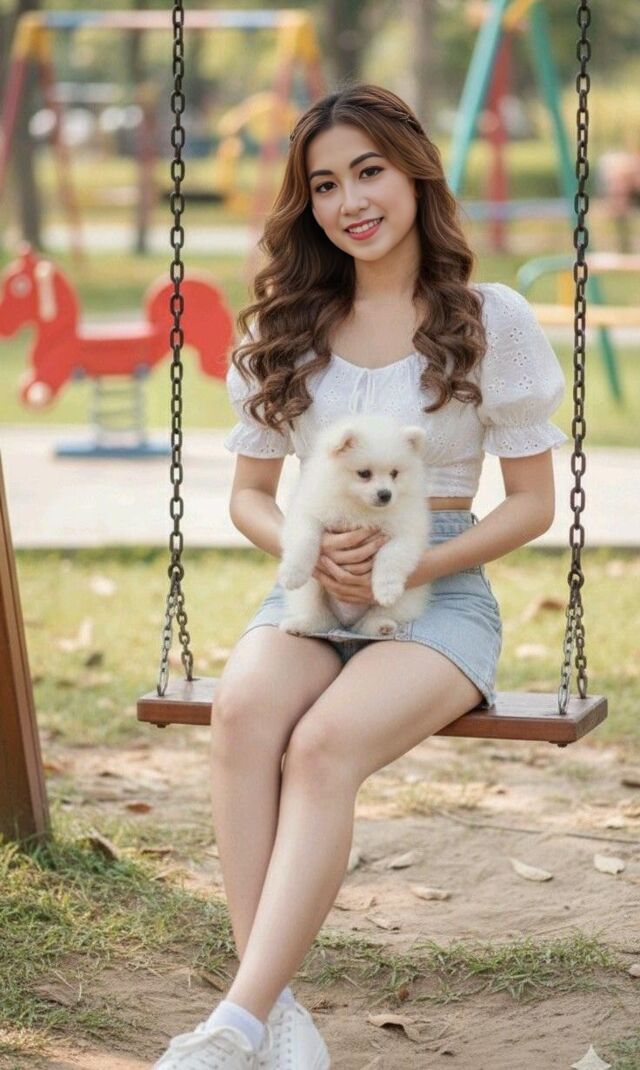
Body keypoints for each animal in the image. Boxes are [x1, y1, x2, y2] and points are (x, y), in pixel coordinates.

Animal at [277, 413, 431, 639]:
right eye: (364, 473)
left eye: (394, 473)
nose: (386, 494)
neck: (360, 508)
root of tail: (346, 621)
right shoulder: (309, 514)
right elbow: (305, 540)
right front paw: (292, 574)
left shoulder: (405, 533)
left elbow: (391, 557)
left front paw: (386, 589)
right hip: (312, 591)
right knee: (320, 616)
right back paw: (300, 624)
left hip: (402, 602)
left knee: (368, 621)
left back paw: (381, 626)